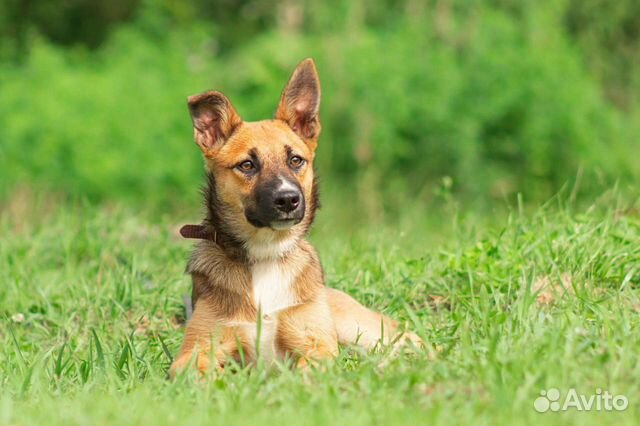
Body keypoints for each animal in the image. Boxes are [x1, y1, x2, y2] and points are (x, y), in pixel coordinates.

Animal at [170, 58, 420, 378]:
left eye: (295, 160)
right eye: (247, 165)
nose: (288, 199)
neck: (266, 253)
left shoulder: (317, 345)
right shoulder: (195, 350)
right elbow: (200, 373)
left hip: (363, 330)